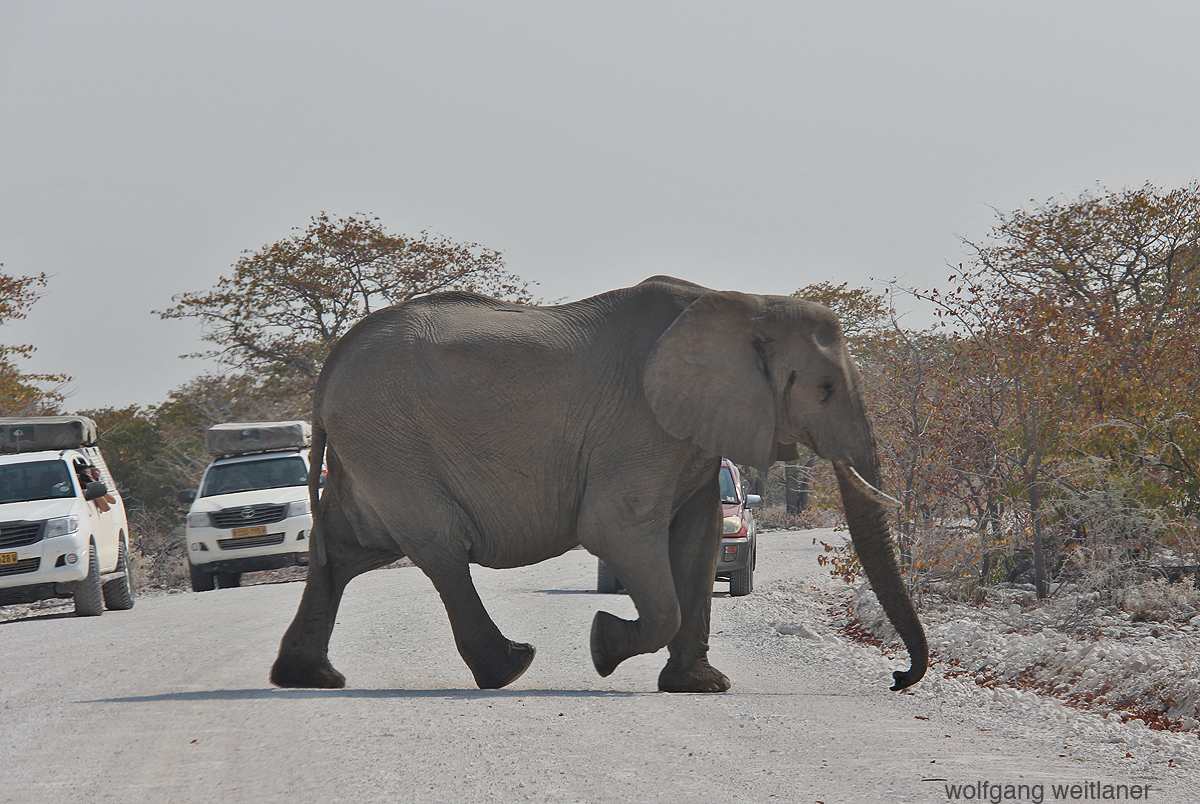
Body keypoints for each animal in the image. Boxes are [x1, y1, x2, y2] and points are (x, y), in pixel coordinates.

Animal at [270, 276, 926, 691]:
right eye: (825, 389)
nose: (897, 679)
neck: (743, 302)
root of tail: (329, 367)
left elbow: (699, 540)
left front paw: (700, 686)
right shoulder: (638, 426)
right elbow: (616, 529)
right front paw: (602, 647)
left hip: (371, 449)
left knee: (346, 550)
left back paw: (309, 678)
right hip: (390, 442)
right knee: (440, 550)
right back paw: (510, 668)